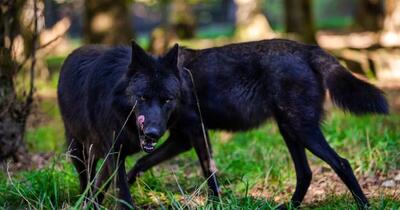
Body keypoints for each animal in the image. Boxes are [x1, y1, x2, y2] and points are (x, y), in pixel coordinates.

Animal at [57, 39, 388, 208]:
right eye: (144, 97)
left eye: (166, 99)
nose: (150, 130)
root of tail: (306, 47)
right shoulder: (181, 139)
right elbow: (139, 163)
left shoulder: (194, 133)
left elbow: (209, 173)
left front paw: (216, 202)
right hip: (290, 130)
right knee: (306, 172)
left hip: (301, 130)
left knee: (341, 163)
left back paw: (364, 206)